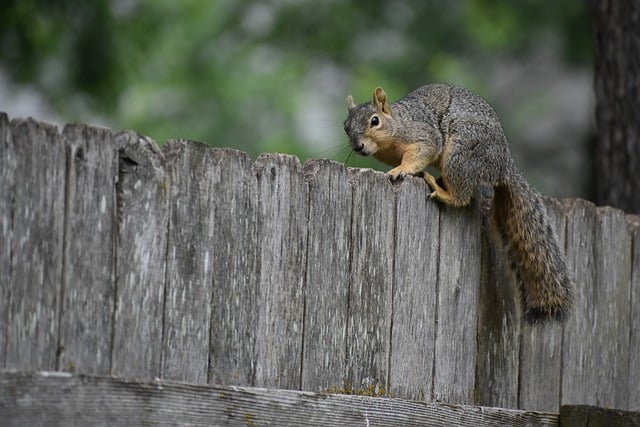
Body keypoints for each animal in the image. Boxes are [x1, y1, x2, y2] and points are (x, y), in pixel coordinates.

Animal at [344, 84, 576, 324]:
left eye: (374, 121)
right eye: (346, 127)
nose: (358, 146)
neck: (397, 123)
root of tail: (503, 166)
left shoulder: (424, 135)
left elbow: (419, 153)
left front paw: (402, 170)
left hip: (461, 152)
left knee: (462, 197)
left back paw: (441, 190)